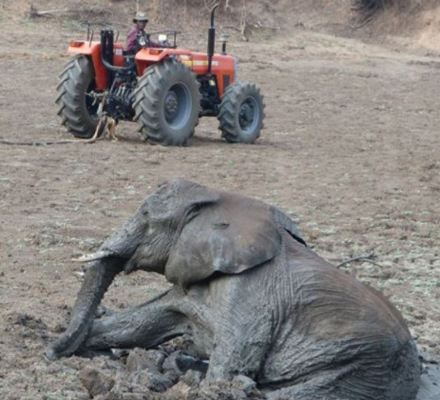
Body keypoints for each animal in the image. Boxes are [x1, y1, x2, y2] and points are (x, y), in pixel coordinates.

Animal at [45, 179, 422, 400]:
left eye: (146, 216)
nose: (51, 353)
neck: (221, 201)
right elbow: (139, 325)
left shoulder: (251, 290)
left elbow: (234, 359)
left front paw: (208, 387)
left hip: (361, 367)